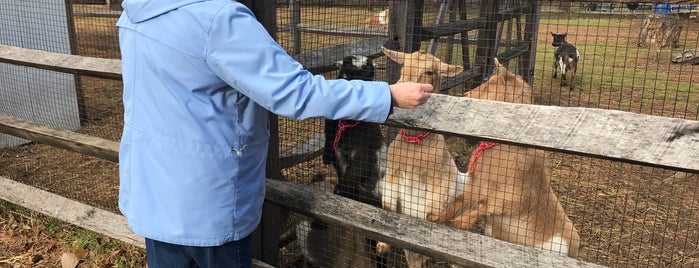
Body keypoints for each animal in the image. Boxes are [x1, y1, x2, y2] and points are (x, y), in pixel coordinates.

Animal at [378, 47, 464, 266]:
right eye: (403, 66)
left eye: (429, 72)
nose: (400, 87)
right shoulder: (393, 174)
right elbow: (387, 205)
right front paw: (383, 245)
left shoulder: (440, 181)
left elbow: (431, 211)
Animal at [430, 58, 584, 258]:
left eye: (493, 83)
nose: (465, 95)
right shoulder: (475, 184)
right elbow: (459, 201)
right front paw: (437, 218)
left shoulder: (513, 197)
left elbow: (483, 205)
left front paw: (457, 223)